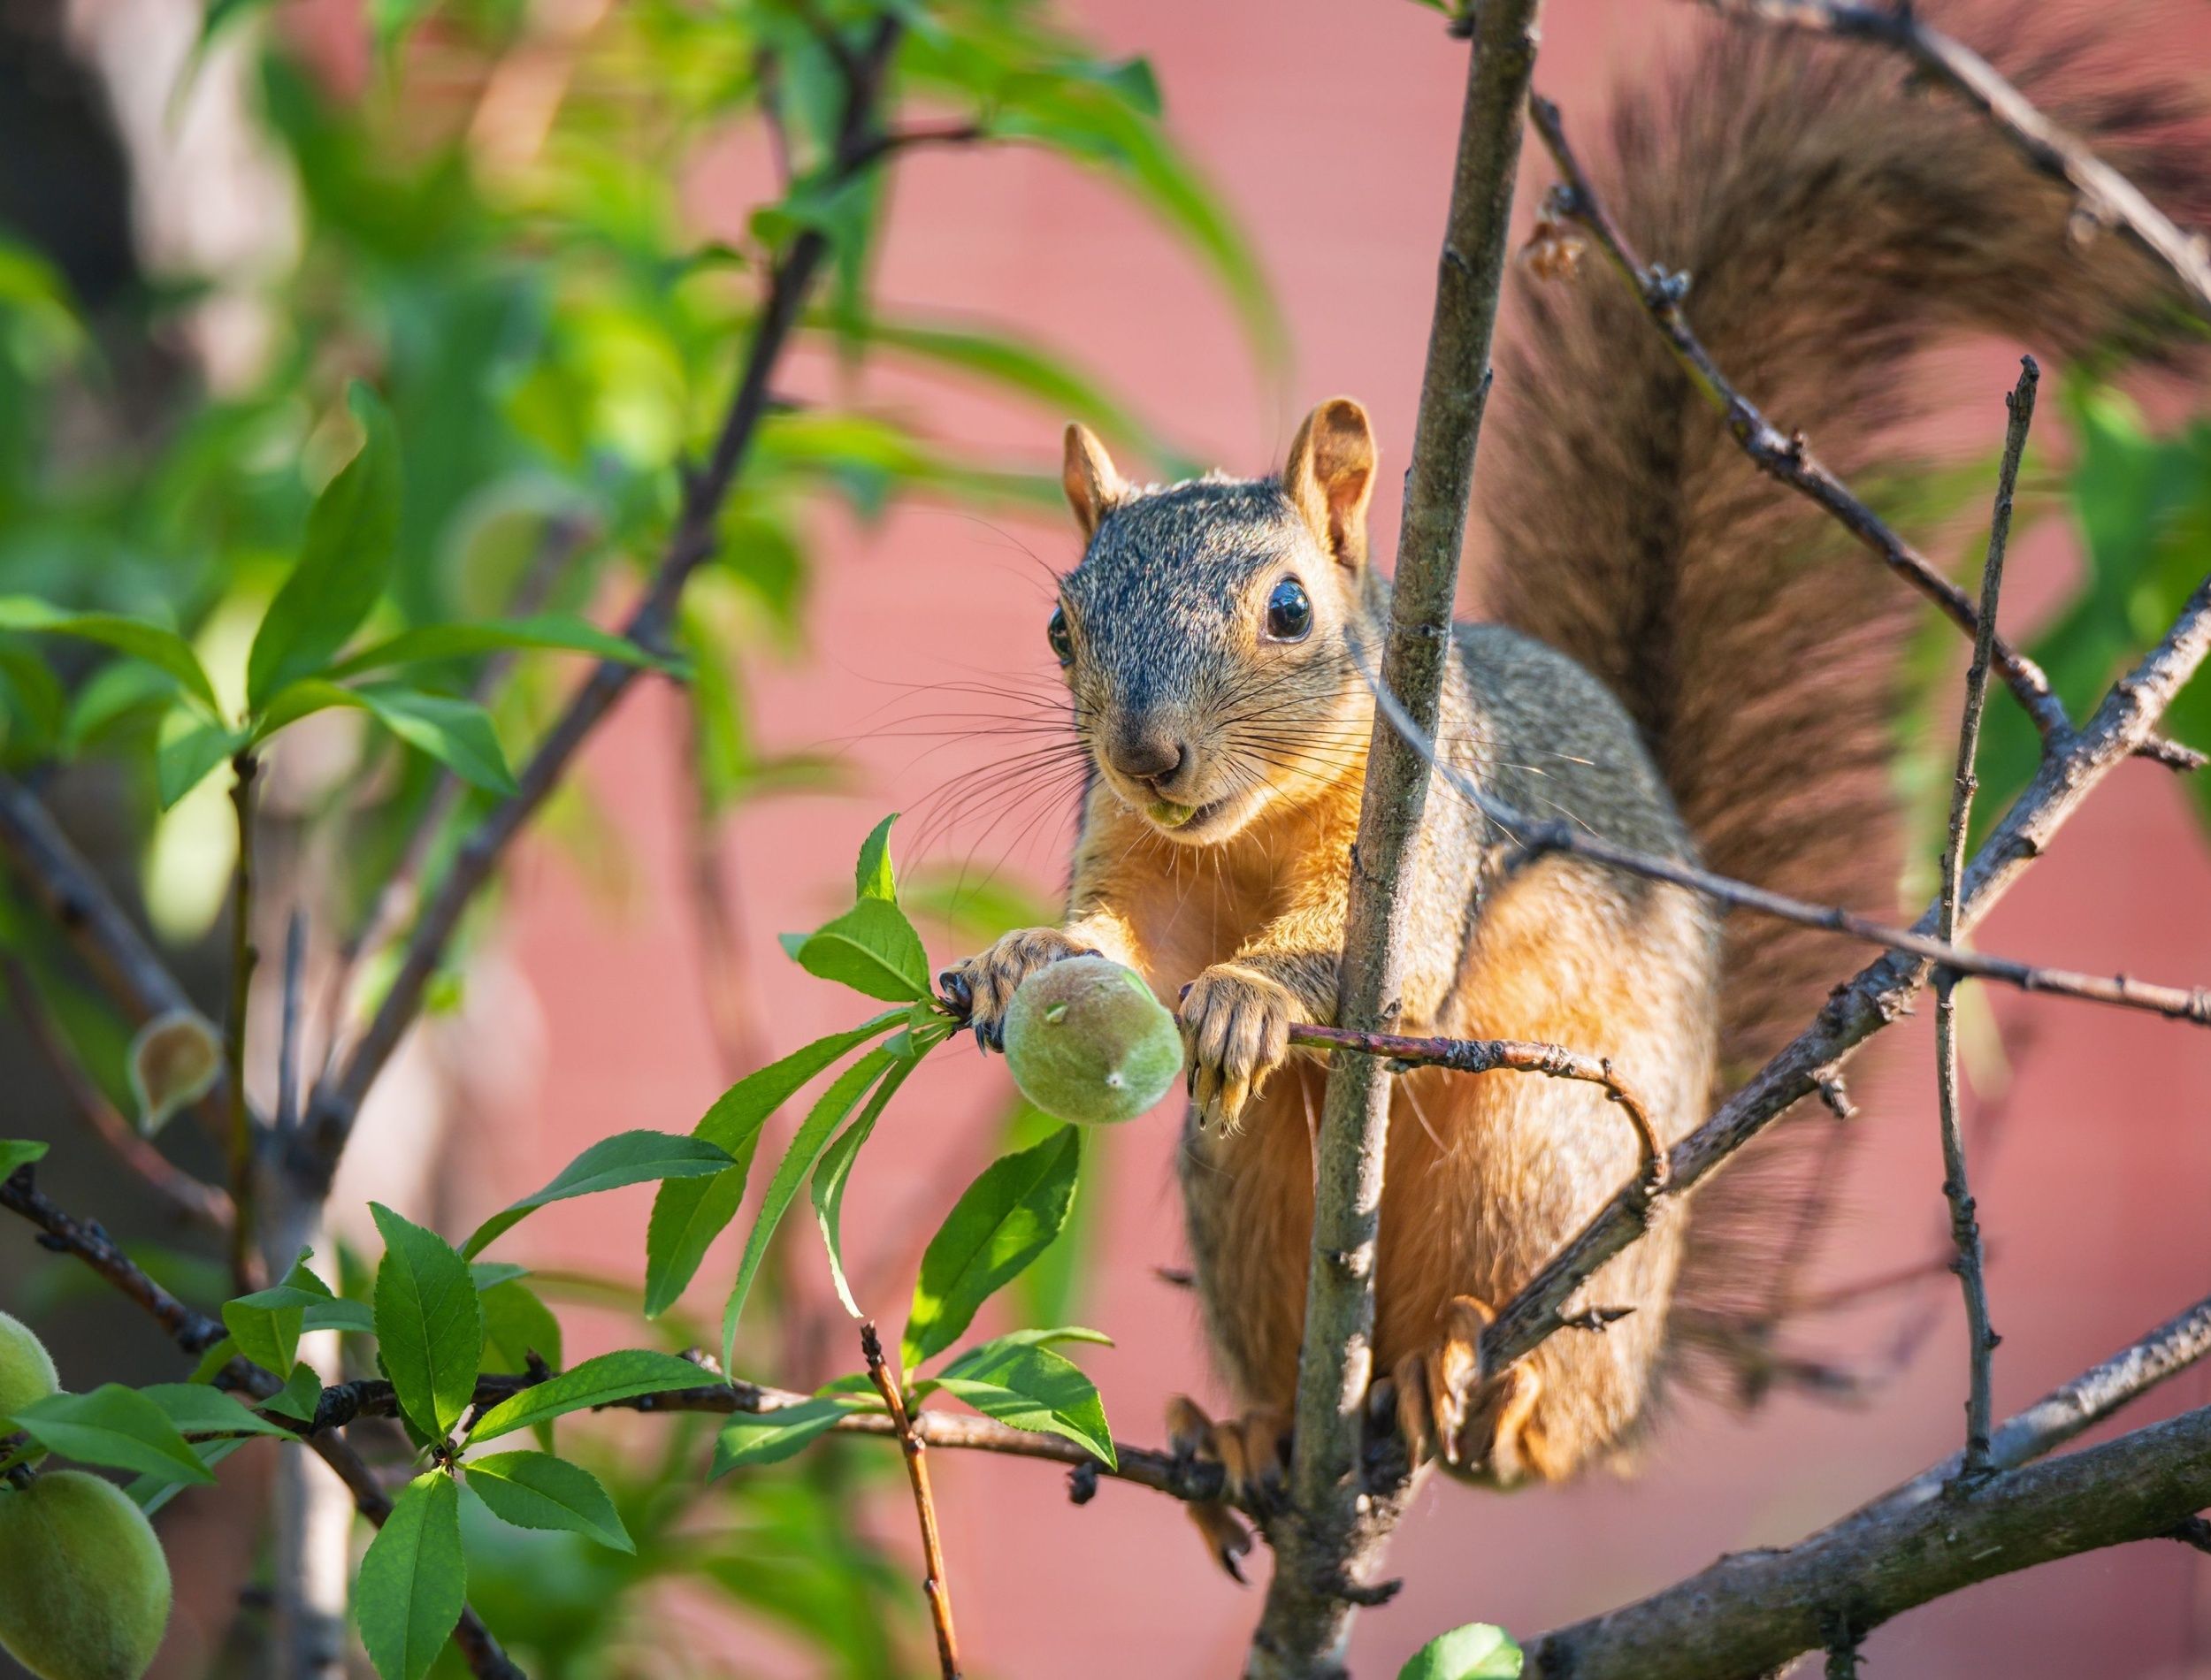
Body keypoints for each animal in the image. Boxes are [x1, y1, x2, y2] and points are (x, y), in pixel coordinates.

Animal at [937, 6, 2211, 1574]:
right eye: (1061, 628)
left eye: (1291, 610)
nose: (1149, 756)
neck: (1253, 828)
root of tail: (1642, 1368)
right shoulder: (1128, 849)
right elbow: (1117, 945)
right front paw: (1022, 959)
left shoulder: (1433, 829)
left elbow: (1379, 962)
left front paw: (1248, 997)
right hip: (1242, 1206)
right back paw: (1246, 1439)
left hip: (1540, 1154)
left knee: (1525, 1398)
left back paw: (1479, 1371)